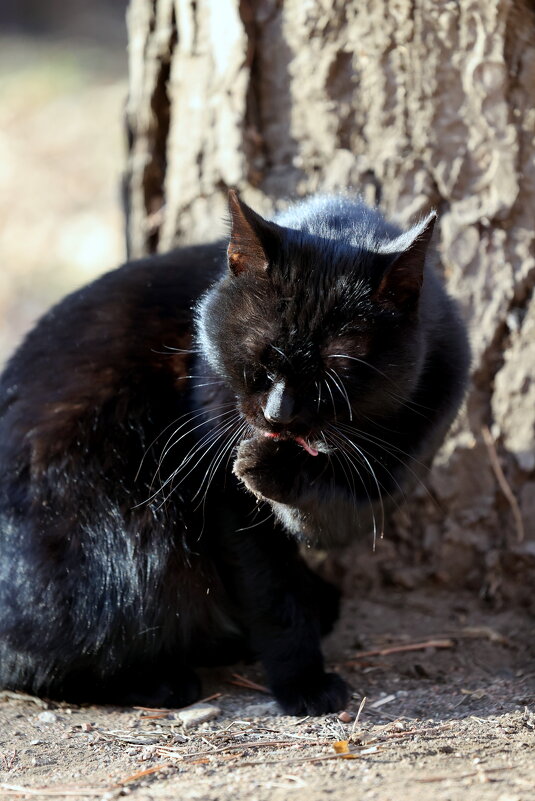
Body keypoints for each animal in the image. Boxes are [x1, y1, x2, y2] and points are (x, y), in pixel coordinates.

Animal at [0, 192, 468, 712]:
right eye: (259, 359)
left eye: (335, 374)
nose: (279, 415)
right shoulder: (227, 495)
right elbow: (273, 595)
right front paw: (304, 684)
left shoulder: (389, 474)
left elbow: (332, 508)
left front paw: (275, 469)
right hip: (130, 532)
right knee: (46, 657)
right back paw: (163, 681)